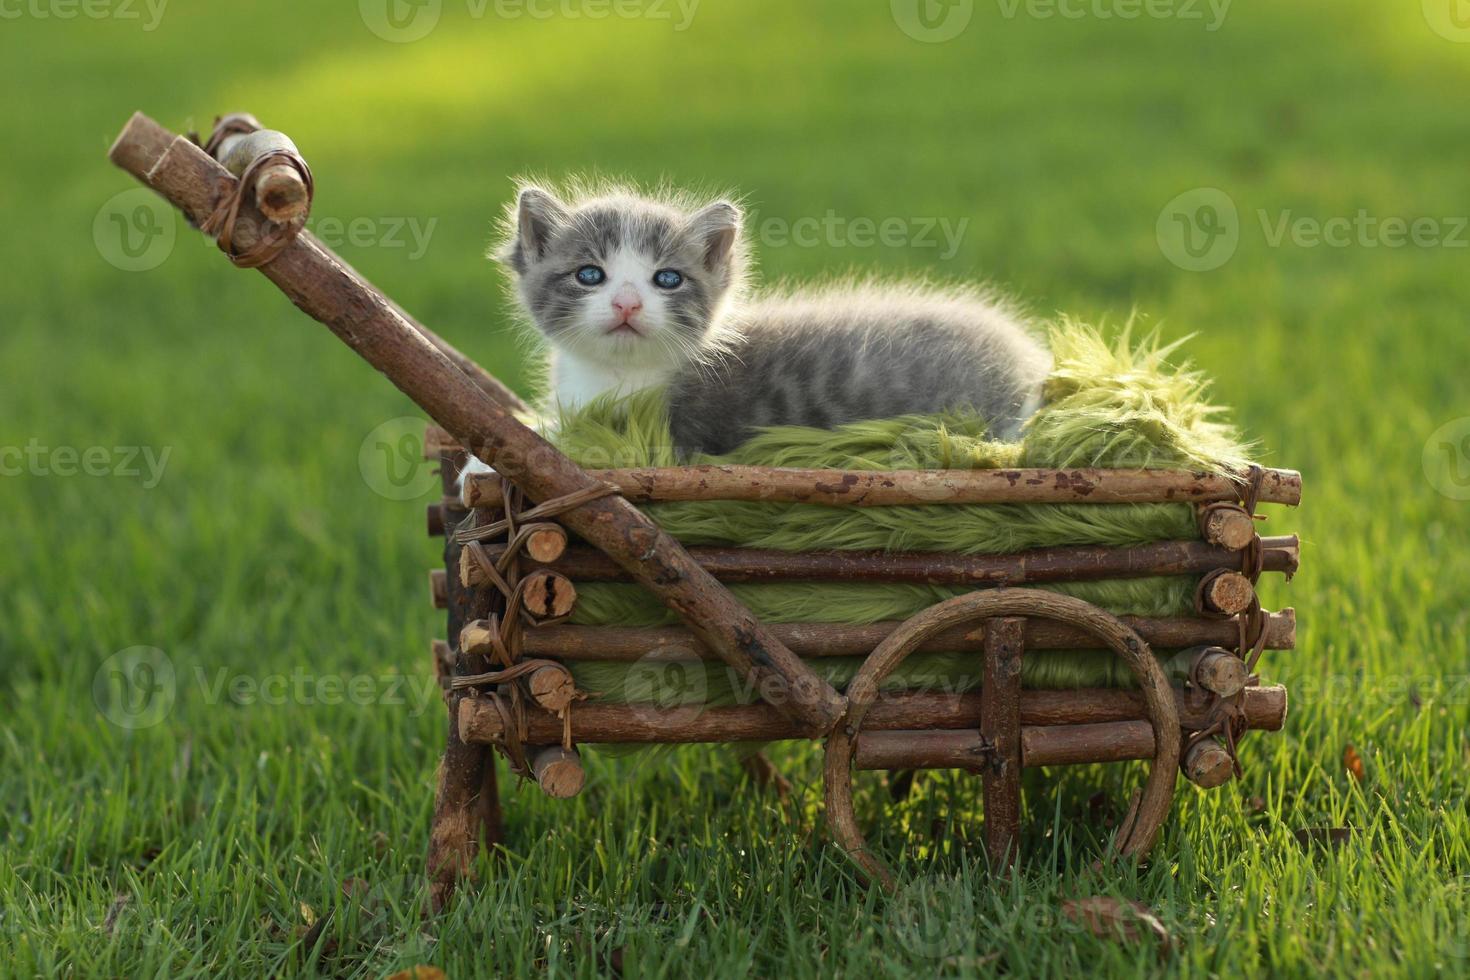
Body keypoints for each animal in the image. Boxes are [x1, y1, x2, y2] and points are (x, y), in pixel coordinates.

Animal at [482, 185, 1046, 467]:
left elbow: (579, 449)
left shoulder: (672, 437)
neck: (615, 376)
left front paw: (483, 463)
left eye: (667, 278)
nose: (626, 303)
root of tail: (1030, 362)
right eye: (589, 274)